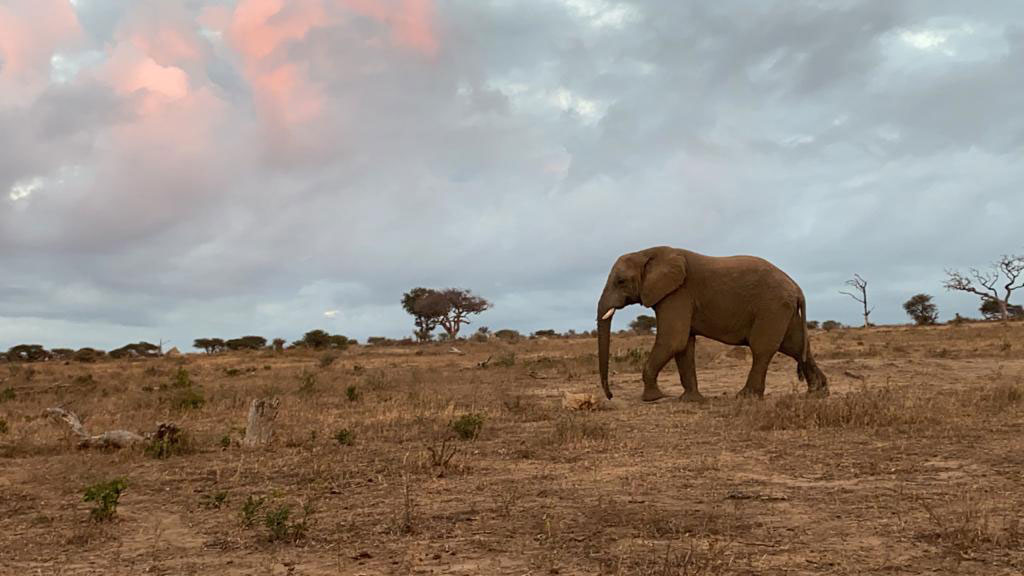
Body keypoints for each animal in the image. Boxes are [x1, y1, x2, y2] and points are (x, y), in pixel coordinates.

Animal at [597, 246, 828, 401]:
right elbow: (684, 345)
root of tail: (797, 288)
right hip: (783, 310)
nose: (610, 396)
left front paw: (653, 398)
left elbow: (673, 340)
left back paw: (745, 397)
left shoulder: (678, 294)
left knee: (762, 349)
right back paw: (818, 393)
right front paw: (690, 400)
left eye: (620, 282)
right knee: (795, 347)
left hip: (772, 307)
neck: (646, 252)